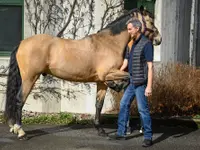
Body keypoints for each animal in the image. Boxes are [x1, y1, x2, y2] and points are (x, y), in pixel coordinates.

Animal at [4, 7, 161, 139]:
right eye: (151, 21)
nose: (159, 39)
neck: (109, 43)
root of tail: (22, 43)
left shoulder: (101, 82)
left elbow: (99, 104)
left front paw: (100, 130)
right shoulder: (107, 74)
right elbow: (128, 77)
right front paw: (116, 86)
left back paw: (14, 128)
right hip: (30, 78)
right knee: (19, 99)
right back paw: (21, 131)